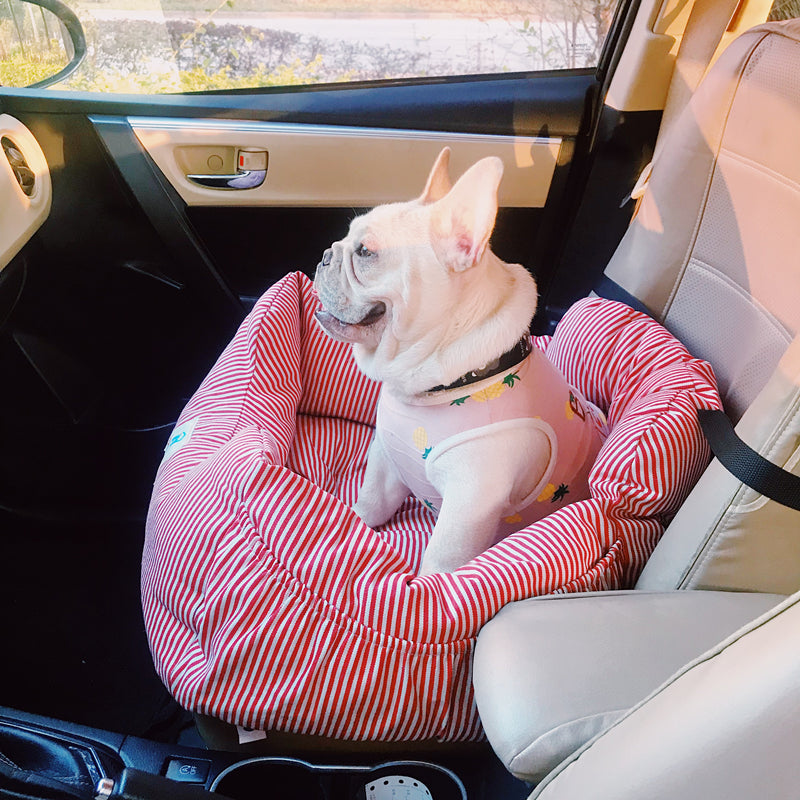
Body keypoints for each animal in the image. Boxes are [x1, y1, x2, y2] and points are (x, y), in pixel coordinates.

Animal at [314, 148, 608, 576]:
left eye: (365, 252)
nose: (324, 254)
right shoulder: (384, 459)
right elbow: (371, 502)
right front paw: (355, 524)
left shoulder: (466, 511)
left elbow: (438, 567)